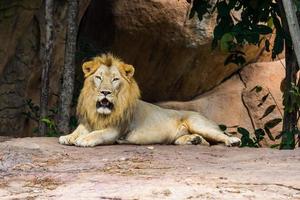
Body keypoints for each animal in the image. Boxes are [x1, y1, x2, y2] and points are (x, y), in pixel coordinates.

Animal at [59, 53, 241, 147]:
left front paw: (83, 140)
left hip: (199, 123)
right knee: (205, 143)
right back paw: (194, 140)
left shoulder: (115, 129)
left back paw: (232, 141)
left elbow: (98, 134)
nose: (105, 92)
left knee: (219, 135)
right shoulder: (89, 122)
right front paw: (68, 137)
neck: (102, 112)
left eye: (115, 79)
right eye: (98, 77)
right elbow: (79, 130)